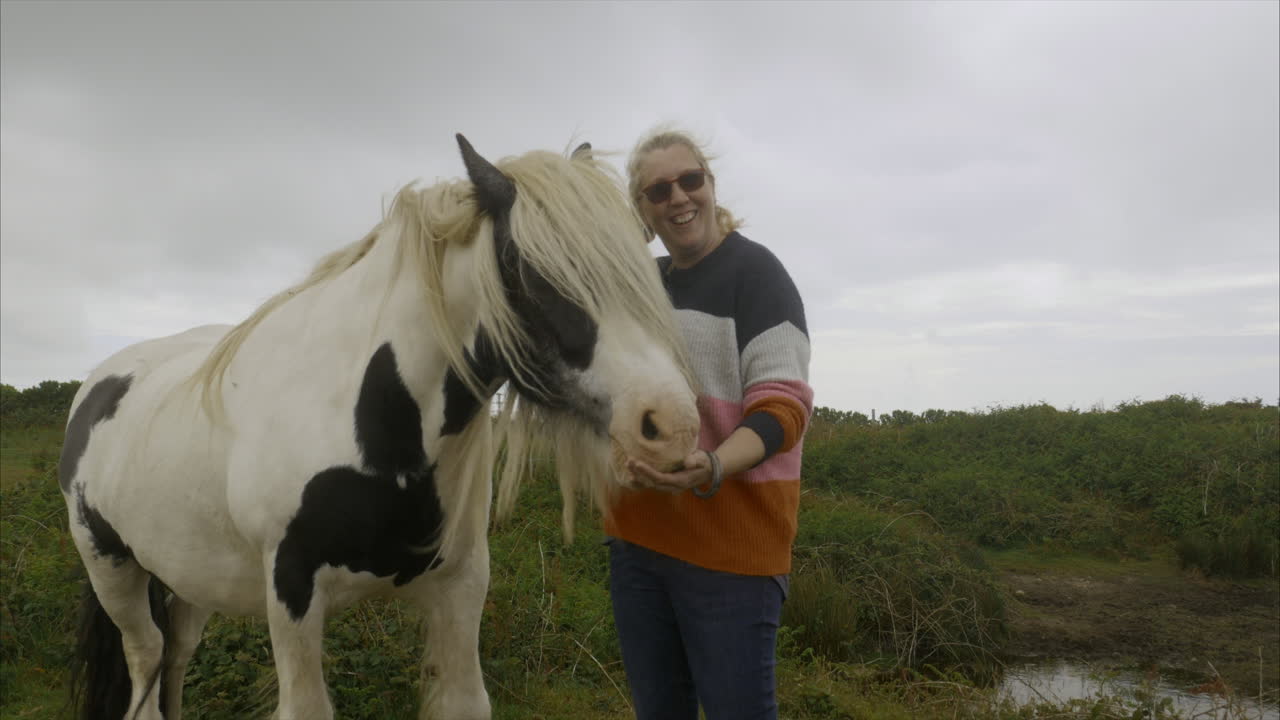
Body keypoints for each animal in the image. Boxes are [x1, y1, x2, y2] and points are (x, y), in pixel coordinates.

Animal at [59, 135, 700, 720]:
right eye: (529, 271)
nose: (671, 426)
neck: (364, 418)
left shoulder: (461, 586)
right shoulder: (290, 592)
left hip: (188, 575)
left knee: (176, 655)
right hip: (111, 568)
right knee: (146, 659)